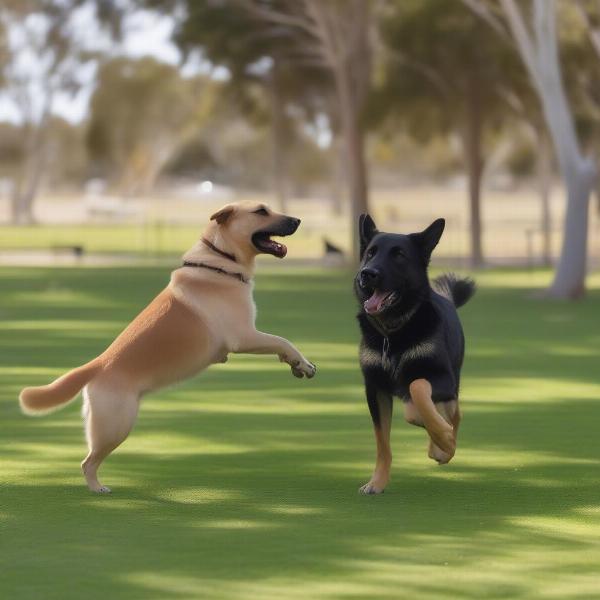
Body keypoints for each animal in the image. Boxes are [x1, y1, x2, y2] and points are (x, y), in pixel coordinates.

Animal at [19, 202, 314, 492]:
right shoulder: (244, 337)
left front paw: (295, 365)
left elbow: (281, 346)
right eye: (261, 211)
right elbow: (282, 341)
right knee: (88, 462)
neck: (222, 261)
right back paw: (97, 488)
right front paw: (304, 363)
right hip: (116, 425)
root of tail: (97, 365)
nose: (298, 220)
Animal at [354, 213, 476, 494]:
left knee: (454, 412)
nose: (367, 274)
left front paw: (443, 437)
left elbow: (416, 388)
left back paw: (444, 443)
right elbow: (383, 444)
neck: (394, 332)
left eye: (399, 255)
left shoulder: (440, 378)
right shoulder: (375, 389)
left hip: (452, 382)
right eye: (370, 253)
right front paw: (377, 482)